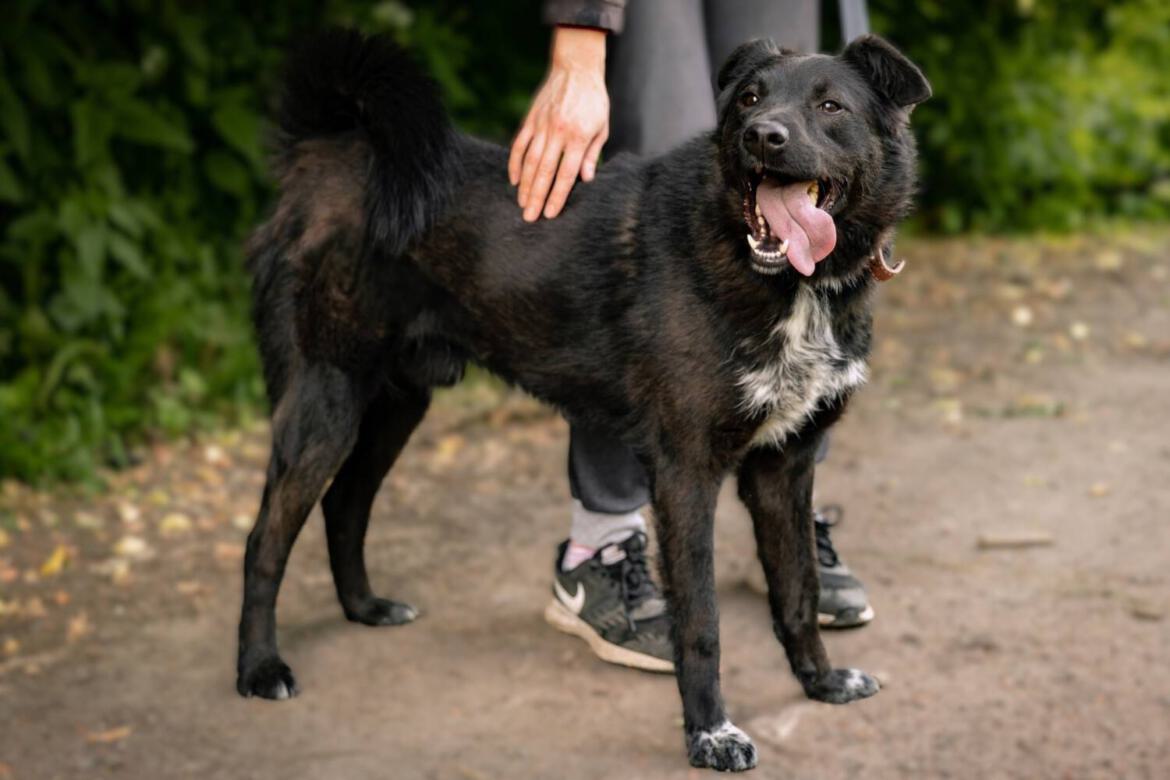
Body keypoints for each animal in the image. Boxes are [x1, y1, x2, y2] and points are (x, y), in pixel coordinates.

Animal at [239, 27, 931, 771]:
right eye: (749, 98)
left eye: (831, 105)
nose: (761, 136)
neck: (789, 283)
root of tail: (331, 153)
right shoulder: (685, 472)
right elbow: (702, 622)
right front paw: (710, 734)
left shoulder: (784, 469)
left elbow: (798, 592)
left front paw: (822, 682)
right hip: (326, 402)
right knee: (265, 538)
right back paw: (259, 668)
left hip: (397, 404)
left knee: (344, 504)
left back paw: (365, 608)